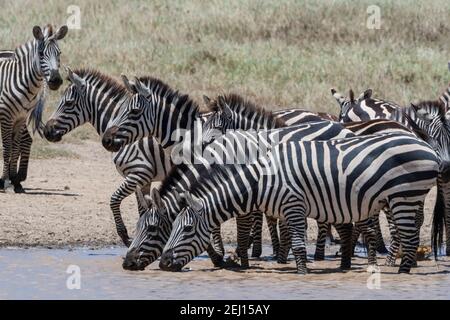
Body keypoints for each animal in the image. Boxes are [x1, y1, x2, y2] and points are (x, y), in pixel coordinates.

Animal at [0, 24, 67, 192]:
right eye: (41, 54)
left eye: (59, 53)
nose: (55, 80)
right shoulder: (6, 116)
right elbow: (7, 148)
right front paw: (5, 180)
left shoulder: (19, 117)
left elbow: (14, 147)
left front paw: (10, 181)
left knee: (25, 141)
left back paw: (17, 180)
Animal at [159, 127, 442, 272]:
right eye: (171, 227)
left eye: (186, 229)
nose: (163, 263)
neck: (260, 182)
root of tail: (428, 147)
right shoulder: (286, 210)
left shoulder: (293, 205)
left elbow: (297, 246)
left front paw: (302, 273)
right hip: (404, 198)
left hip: (405, 195)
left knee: (410, 237)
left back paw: (402, 272)